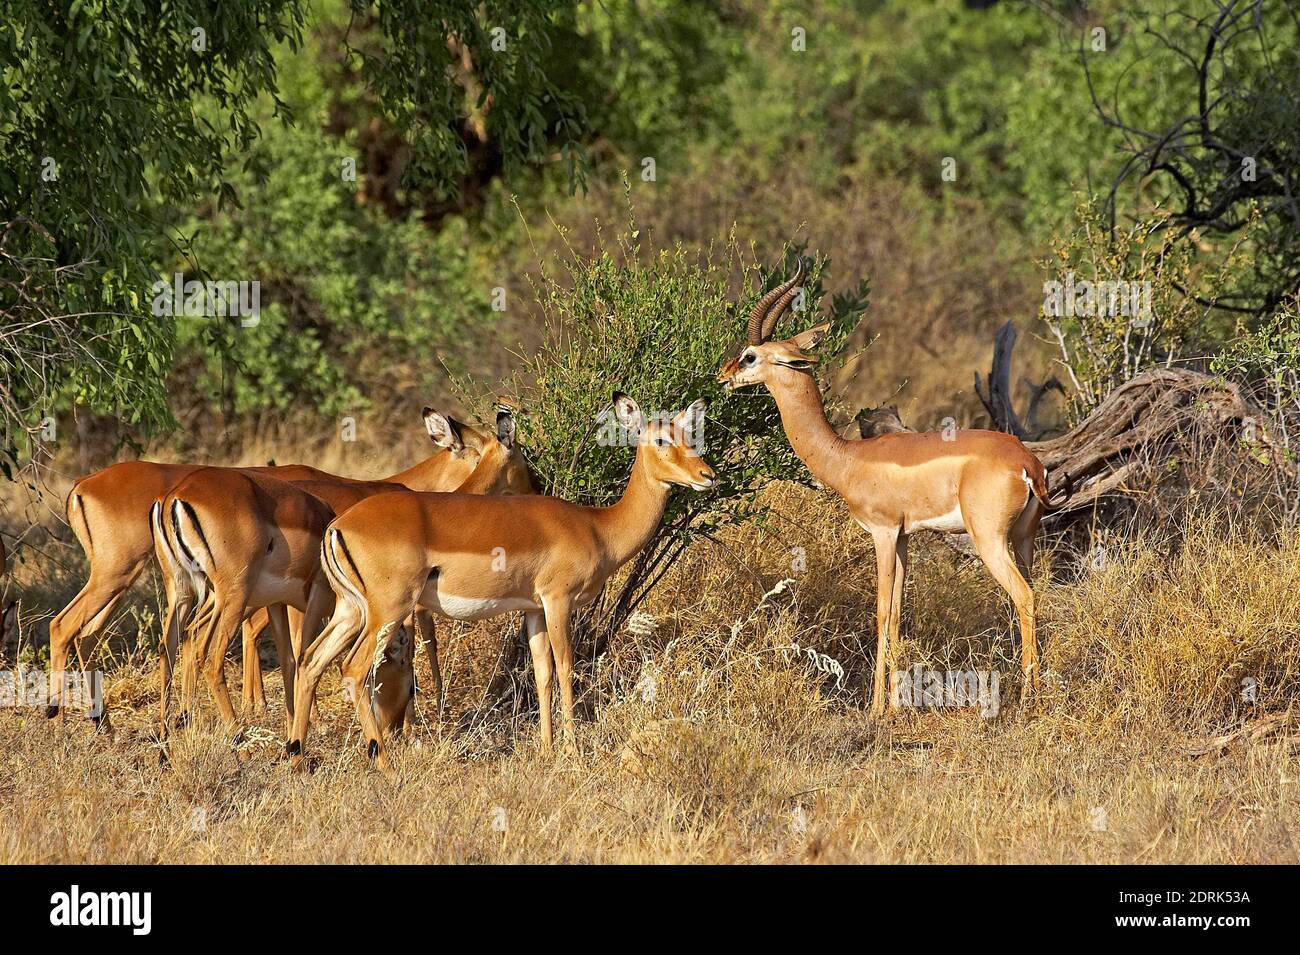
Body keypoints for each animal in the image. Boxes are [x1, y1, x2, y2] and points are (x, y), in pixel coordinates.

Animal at [47, 407, 500, 727]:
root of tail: (81, 486)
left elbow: (285, 650)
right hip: (133, 577)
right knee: (69, 627)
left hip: (162, 585)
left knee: (118, 638)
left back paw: (125, 724)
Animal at [287, 393, 714, 770]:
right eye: (661, 439)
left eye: (689, 435)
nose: (706, 476)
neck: (597, 527)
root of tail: (338, 526)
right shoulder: (558, 602)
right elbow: (566, 667)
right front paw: (573, 753)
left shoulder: (534, 610)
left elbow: (541, 673)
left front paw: (547, 750)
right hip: (388, 611)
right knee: (353, 669)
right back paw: (384, 763)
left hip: (351, 610)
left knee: (311, 661)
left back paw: (297, 757)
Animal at [717, 259, 1064, 715]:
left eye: (750, 355)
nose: (722, 377)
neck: (848, 457)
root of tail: (1026, 462)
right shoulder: (903, 537)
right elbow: (898, 611)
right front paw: (896, 704)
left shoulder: (881, 532)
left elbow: (881, 611)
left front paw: (876, 707)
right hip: (1024, 539)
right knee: (1035, 595)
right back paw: (1036, 694)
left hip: (988, 540)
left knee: (1023, 597)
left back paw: (1026, 700)